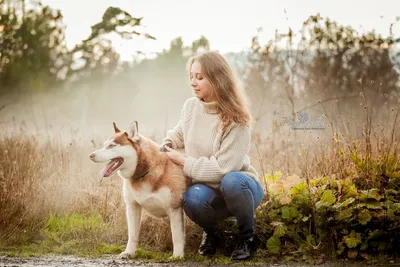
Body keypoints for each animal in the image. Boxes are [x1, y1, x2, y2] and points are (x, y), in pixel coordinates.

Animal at [90, 122, 190, 260]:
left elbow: (177, 236)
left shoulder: (175, 208)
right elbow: (132, 235)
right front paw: (129, 252)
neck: (145, 172)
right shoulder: (132, 207)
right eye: (105, 145)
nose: (91, 155)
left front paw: (177, 256)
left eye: (111, 146)